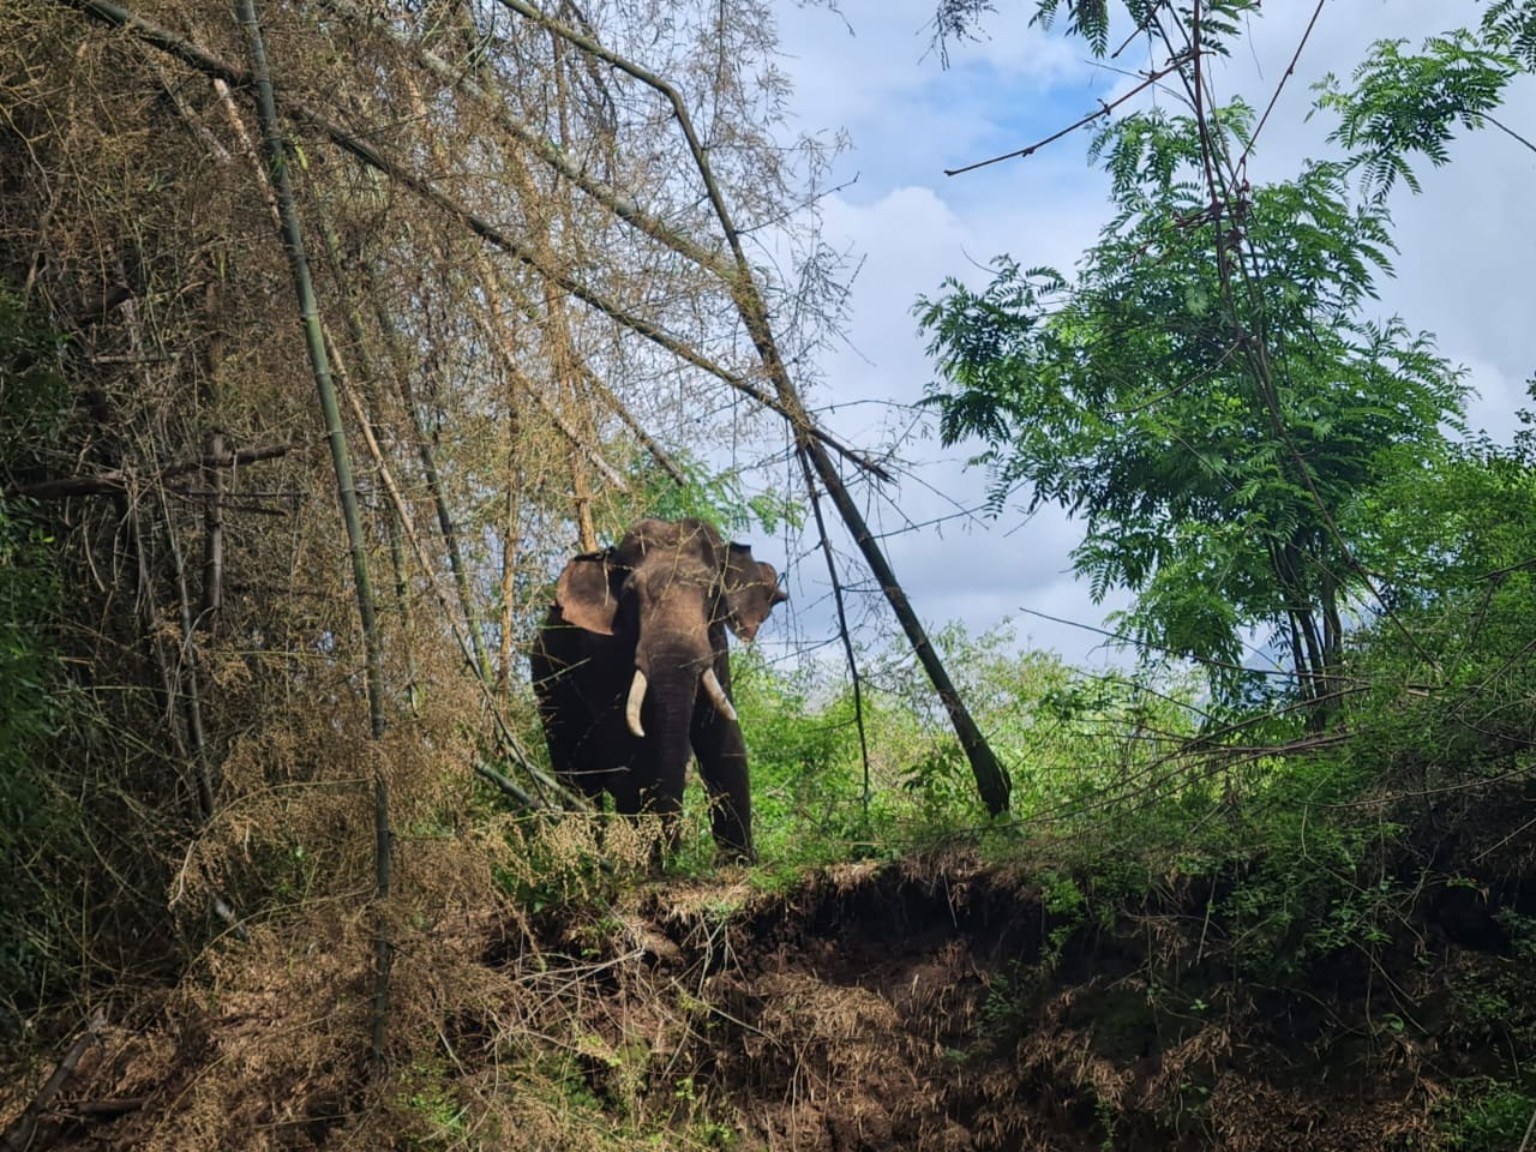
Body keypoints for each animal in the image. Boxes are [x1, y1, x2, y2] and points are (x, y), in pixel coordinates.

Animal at [530, 517, 786, 862]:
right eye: (629, 595)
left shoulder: (717, 646)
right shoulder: (601, 656)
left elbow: (721, 736)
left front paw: (739, 861)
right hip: (549, 691)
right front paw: (652, 858)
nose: (671, 854)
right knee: (578, 778)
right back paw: (590, 855)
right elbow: (628, 750)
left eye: (713, 594)